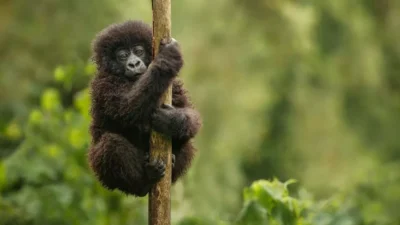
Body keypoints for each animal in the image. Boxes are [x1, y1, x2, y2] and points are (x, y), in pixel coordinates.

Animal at [87, 20, 200, 197]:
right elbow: (126, 109)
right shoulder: (103, 84)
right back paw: (145, 181)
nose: (134, 63)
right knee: (110, 144)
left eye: (139, 51)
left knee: (187, 141)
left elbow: (190, 114)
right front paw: (166, 60)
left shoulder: (174, 85)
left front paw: (172, 121)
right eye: (122, 56)